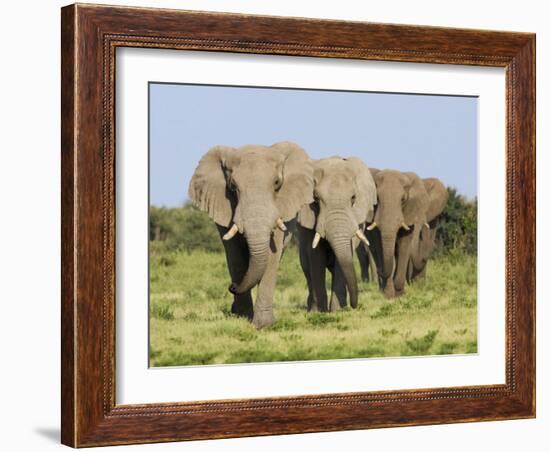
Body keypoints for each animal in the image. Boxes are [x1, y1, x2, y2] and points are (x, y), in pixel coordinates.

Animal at [189, 142, 314, 328]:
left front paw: (263, 325)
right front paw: (241, 317)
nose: (232, 286)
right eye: (233, 186)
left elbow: (271, 256)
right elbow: (235, 255)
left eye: (277, 183)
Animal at [298, 157, 380, 312]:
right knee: (306, 266)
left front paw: (338, 310)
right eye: (316, 199)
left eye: (353, 198)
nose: (355, 305)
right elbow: (316, 256)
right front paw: (319, 312)